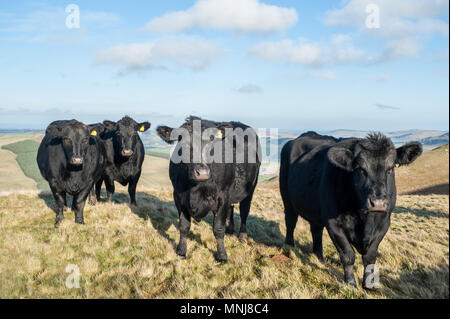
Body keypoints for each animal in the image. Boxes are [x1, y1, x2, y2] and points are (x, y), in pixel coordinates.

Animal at [157, 117, 260, 262]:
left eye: (212, 141)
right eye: (183, 142)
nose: (203, 172)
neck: (195, 189)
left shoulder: (222, 196)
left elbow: (218, 229)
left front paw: (222, 255)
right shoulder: (178, 196)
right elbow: (184, 226)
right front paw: (181, 251)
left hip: (250, 188)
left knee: (244, 210)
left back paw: (242, 235)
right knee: (231, 208)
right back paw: (230, 229)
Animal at [280, 131, 424, 288]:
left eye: (391, 168)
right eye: (360, 169)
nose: (378, 203)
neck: (364, 219)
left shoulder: (384, 223)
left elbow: (370, 257)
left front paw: (368, 284)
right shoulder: (334, 224)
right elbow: (348, 255)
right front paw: (350, 283)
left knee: (316, 230)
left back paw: (319, 256)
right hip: (287, 199)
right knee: (290, 222)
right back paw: (289, 246)